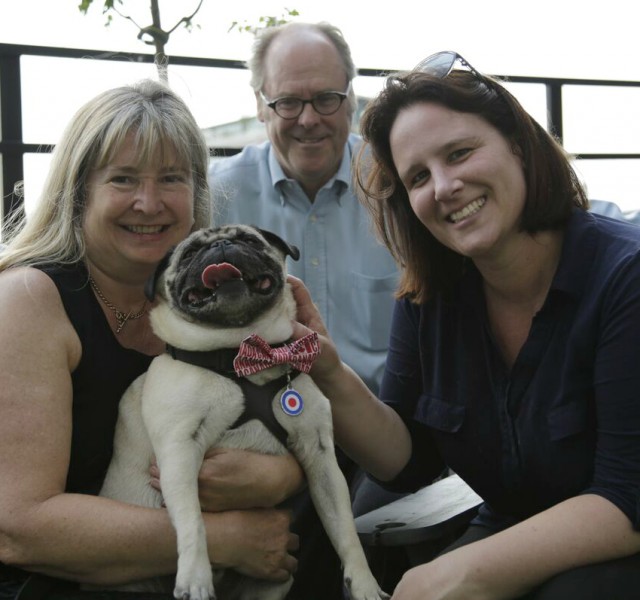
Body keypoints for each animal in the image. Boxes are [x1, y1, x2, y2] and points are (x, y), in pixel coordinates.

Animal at [99, 225, 390, 600]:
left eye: (250, 241)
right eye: (190, 253)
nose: (222, 245)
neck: (240, 354)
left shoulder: (321, 456)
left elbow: (345, 530)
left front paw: (364, 583)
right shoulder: (178, 450)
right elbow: (193, 521)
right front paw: (195, 577)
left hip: (273, 585)